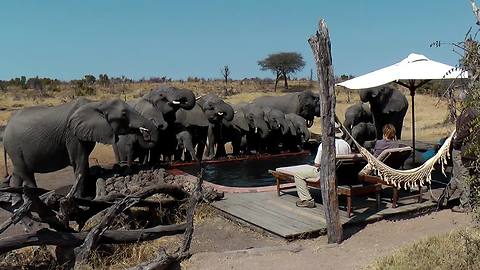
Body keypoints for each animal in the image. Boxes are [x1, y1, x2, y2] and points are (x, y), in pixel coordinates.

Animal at [3, 98, 158, 197]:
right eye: (124, 114)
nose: (145, 133)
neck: (97, 103)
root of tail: (5, 130)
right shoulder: (72, 134)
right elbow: (79, 162)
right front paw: (79, 198)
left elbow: (83, 162)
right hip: (14, 148)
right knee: (26, 173)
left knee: (18, 174)